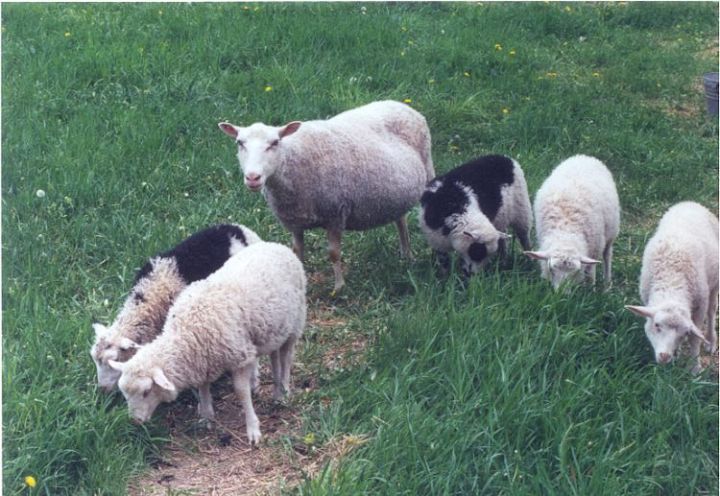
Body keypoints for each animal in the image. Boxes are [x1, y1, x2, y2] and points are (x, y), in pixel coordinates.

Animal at [109, 241, 306, 446]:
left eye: (146, 391)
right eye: (125, 393)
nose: (135, 421)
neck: (186, 332)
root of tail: (276, 245)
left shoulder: (240, 357)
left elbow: (241, 392)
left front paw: (253, 428)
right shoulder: (202, 361)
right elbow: (202, 386)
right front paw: (205, 416)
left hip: (296, 320)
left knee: (287, 357)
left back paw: (284, 390)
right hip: (274, 330)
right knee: (275, 357)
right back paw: (276, 393)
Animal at [218, 99, 434, 292]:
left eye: (274, 143)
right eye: (240, 143)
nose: (253, 177)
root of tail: (400, 103)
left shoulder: (336, 214)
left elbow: (334, 253)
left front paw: (339, 288)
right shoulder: (295, 221)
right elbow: (298, 252)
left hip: (429, 170)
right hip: (397, 192)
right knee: (401, 219)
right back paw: (406, 254)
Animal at [524, 155, 620, 290]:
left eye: (574, 271)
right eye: (551, 269)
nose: (561, 293)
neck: (566, 230)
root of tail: (583, 156)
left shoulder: (594, 251)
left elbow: (591, 274)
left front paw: (591, 289)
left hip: (610, 233)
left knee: (607, 256)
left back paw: (607, 285)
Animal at [624, 202, 720, 372]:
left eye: (684, 332)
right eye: (656, 325)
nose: (664, 357)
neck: (672, 281)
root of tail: (690, 202)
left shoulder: (699, 307)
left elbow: (695, 339)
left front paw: (695, 368)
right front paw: (676, 356)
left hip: (714, 283)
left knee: (712, 311)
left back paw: (711, 340)